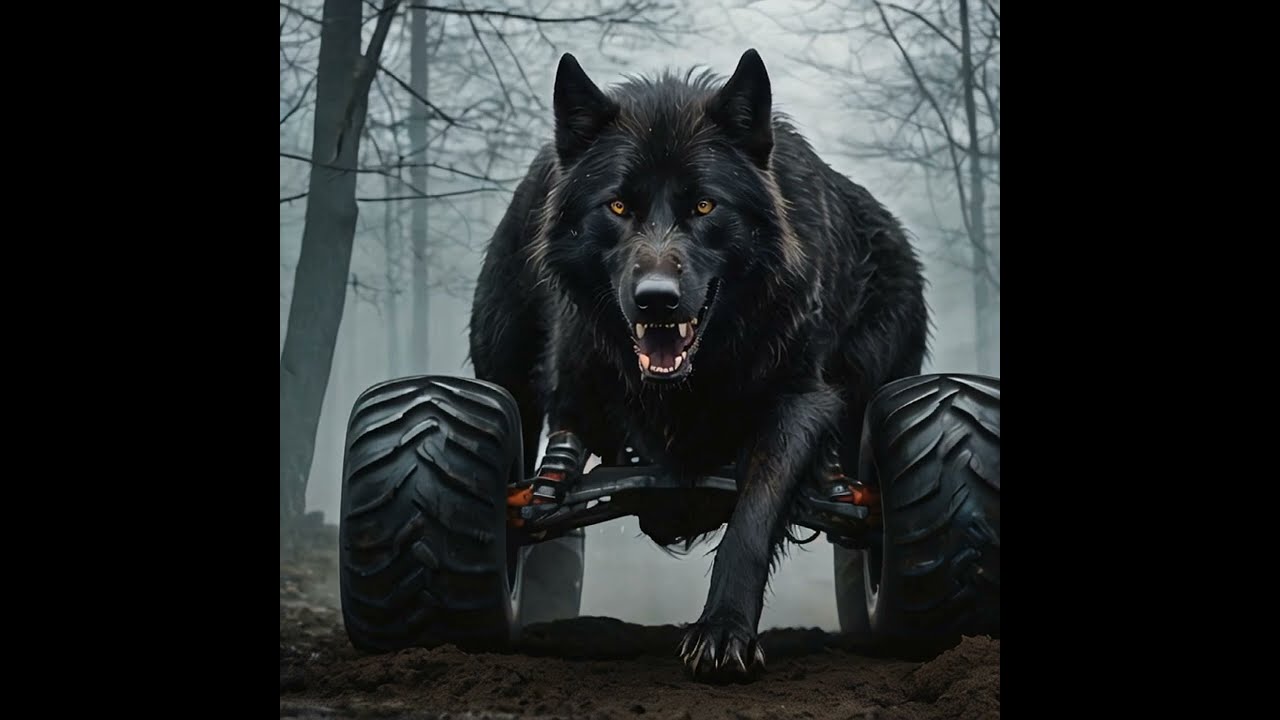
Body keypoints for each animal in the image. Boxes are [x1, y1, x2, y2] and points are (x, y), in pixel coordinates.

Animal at [469, 49, 930, 682]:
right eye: (618, 206)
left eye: (705, 205)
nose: (656, 299)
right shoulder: (572, 385)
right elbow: (557, 455)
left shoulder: (801, 402)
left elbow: (753, 515)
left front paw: (723, 630)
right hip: (502, 370)